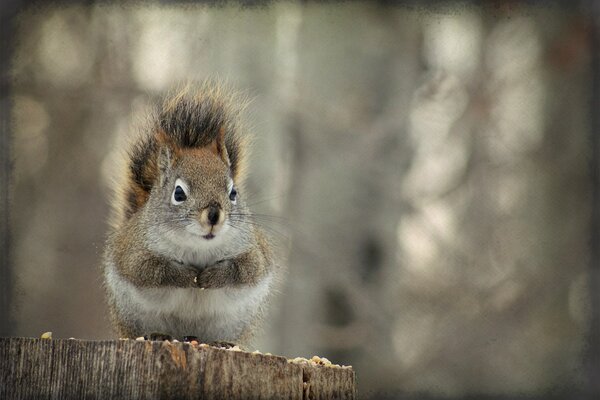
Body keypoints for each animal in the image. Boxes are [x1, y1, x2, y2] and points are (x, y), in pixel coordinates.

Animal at [103, 82, 276, 346]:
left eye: (233, 192)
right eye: (178, 193)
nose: (214, 215)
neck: (199, 247)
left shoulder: (253, 250)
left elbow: (246, 269)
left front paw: (212, 277)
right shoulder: (135, 252)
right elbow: (151, 270)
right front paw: (187, 277)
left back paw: (220, 343)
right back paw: (159, 334)